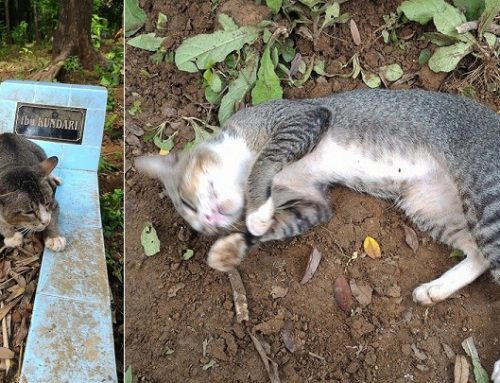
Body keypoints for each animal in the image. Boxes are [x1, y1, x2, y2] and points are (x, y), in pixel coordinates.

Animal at [137, 90, 500, 308]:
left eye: (187, 204)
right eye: (196, 223)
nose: (208, 222)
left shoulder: (303, 117)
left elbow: (265, 161)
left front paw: (255, 212)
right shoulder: (313, 202)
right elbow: (278, 225)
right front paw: (232, 247)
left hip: (485, 196)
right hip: (430, 206)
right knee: (478, 255)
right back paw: (434, 289)